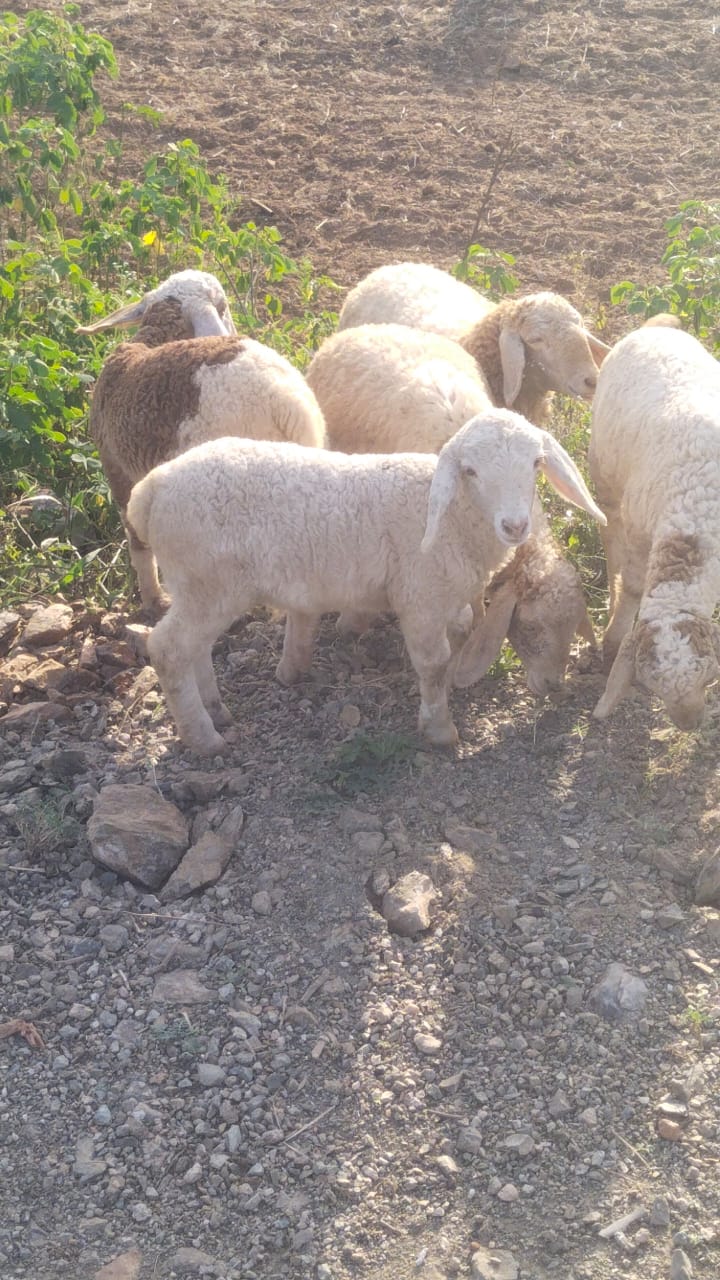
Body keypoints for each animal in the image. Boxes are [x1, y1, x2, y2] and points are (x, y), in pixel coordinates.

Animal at [126, 409, 606, 755]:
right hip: (207, 581)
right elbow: (433, 662)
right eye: (470, 471)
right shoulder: (419, 595)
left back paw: (216, 709)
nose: (515, 525)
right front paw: (439, 728)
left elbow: (459, 636)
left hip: (197, 585)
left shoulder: (445, 596)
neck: (452, 515)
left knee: (196, 648)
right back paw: (204, 738)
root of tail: (150, 489)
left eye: (537, 462)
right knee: (168, 648)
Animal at [588, 324, 720, 730]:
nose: (691, 724)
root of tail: (653, 328)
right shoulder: (638, 534)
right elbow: (632, 587)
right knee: (609, 533)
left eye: (708, 678)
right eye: (652, 687)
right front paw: (613, 640)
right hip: (605, 478)